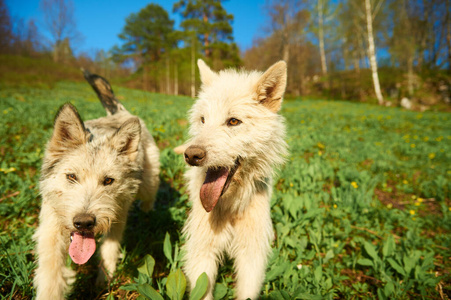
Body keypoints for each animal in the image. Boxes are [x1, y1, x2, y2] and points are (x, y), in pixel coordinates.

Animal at [32, 71, 159, 300]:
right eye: (71, 176)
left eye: (108, 180)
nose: (84, 222)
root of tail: (119, 112)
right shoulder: (51, 228)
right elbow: (51, 274)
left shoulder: (118, 215)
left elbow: (109, 248)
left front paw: (104, 278)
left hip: (149, 182)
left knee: (149, 196)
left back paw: (148, 213)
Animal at [177, 59, 290, 298]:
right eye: (203, 120)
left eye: (233, 121)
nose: (191, 155)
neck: (230, 205)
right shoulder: (202, 250)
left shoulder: (252, 253)